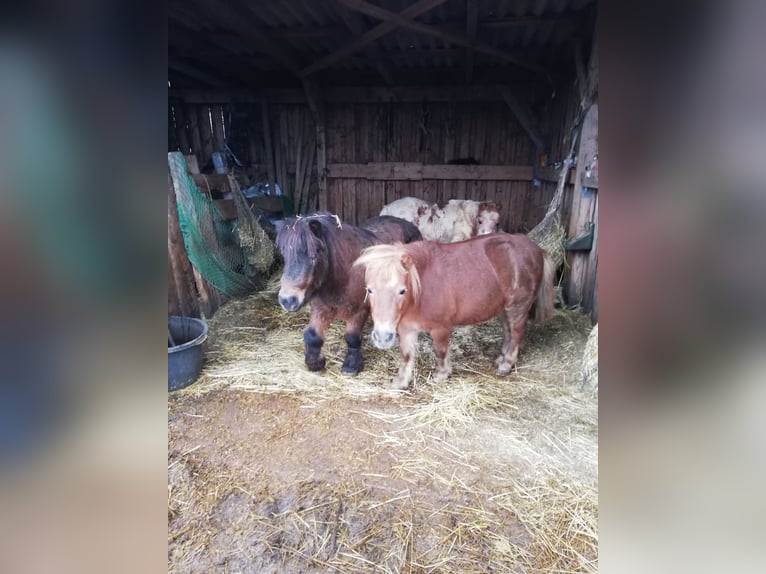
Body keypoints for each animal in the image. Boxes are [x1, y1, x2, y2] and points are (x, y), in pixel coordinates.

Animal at [276, 214, 420, 376]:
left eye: (314, 255)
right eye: (284, 255)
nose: (287, 300)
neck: (345, 276)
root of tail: (407, 223)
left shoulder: (359, 311)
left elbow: (352, 337)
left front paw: (351, 366)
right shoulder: (320, 308)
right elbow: (312, 336)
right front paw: (315, 363)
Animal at [356, 234, 556, 392]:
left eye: (401, 291)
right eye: (369, 290)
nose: (382, 338)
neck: (420, 289)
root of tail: (538, 249)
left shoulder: (441, 329)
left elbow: (440, 352)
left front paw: (441, 375)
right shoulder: (406, 328)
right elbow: (406, 356)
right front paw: (401, 382)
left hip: (518, 307)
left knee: (516, 333)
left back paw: (506, 365)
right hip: (504, 308)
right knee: (508, 332)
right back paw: (501, 359)